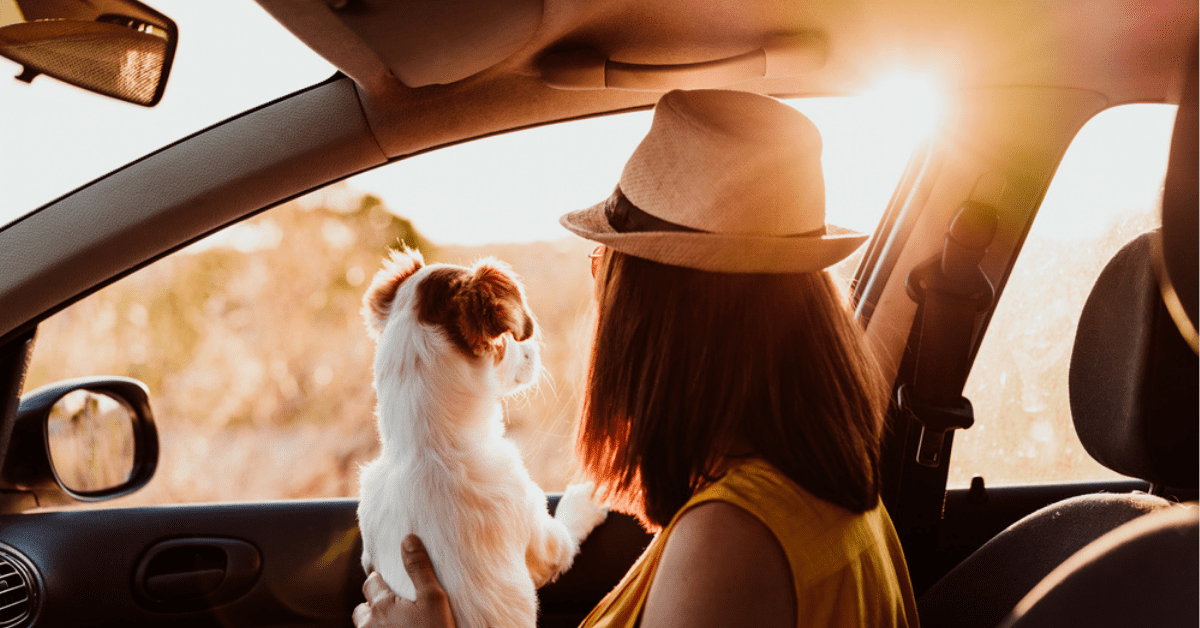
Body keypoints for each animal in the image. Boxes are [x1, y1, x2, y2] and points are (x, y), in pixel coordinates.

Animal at [352, 246, 600, 628]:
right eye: (513, 338)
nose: (536, 349)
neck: (429, 448)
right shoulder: (543, 537)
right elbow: (568, 527)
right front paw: (587, 499)